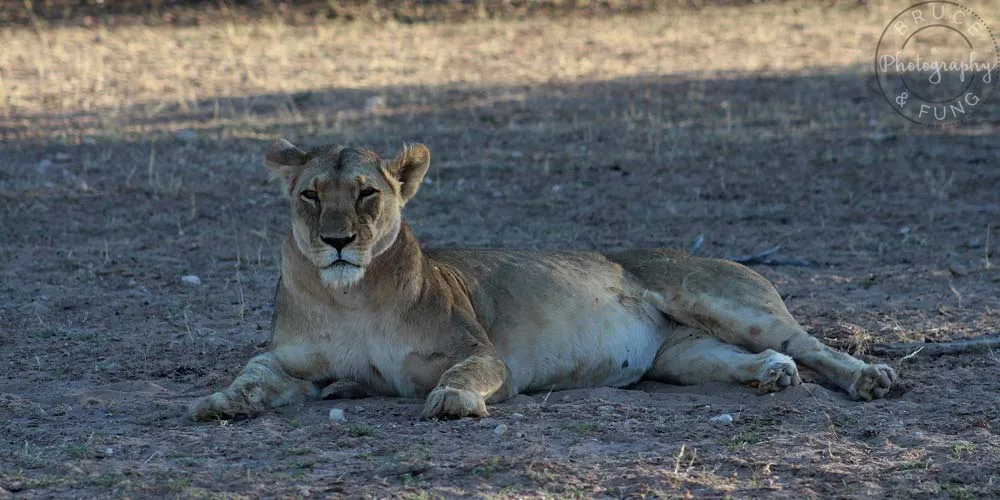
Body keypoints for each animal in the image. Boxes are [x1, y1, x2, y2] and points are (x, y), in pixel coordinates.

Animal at [189, 140, 897, 421]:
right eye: (310, 195)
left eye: (366, 193)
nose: (336, 241)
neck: (351, 299)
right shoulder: (292, 361)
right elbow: (254, 372)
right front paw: (220, 402)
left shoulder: (482, 352)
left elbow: (465, 373)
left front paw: (452, 402)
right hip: (682, 356)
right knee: (747, 359)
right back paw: (772, 376)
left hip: (718, 297)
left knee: (812, 344)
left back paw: (869, 379)